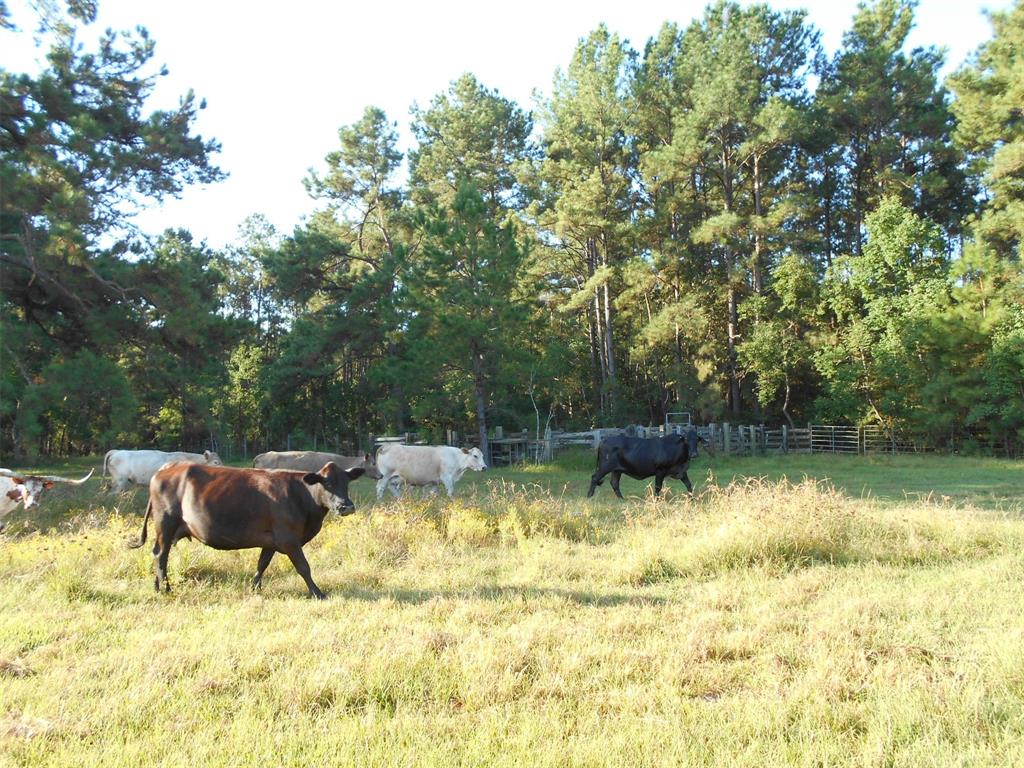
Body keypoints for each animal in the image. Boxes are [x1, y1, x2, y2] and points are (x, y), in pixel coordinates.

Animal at [130, 460, 364, 598]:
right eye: (328, 484)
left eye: (346, 483)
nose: (346, 506)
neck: (300, 495)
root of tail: (166, 468)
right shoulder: (289, 539)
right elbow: (304, 568)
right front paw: (317, 593)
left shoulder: (272, 540)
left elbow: (262, 564)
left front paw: (254, 588)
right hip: (165, 523)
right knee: (161, 555)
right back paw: (166, 589)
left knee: (159, 554)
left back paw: (158, 587)